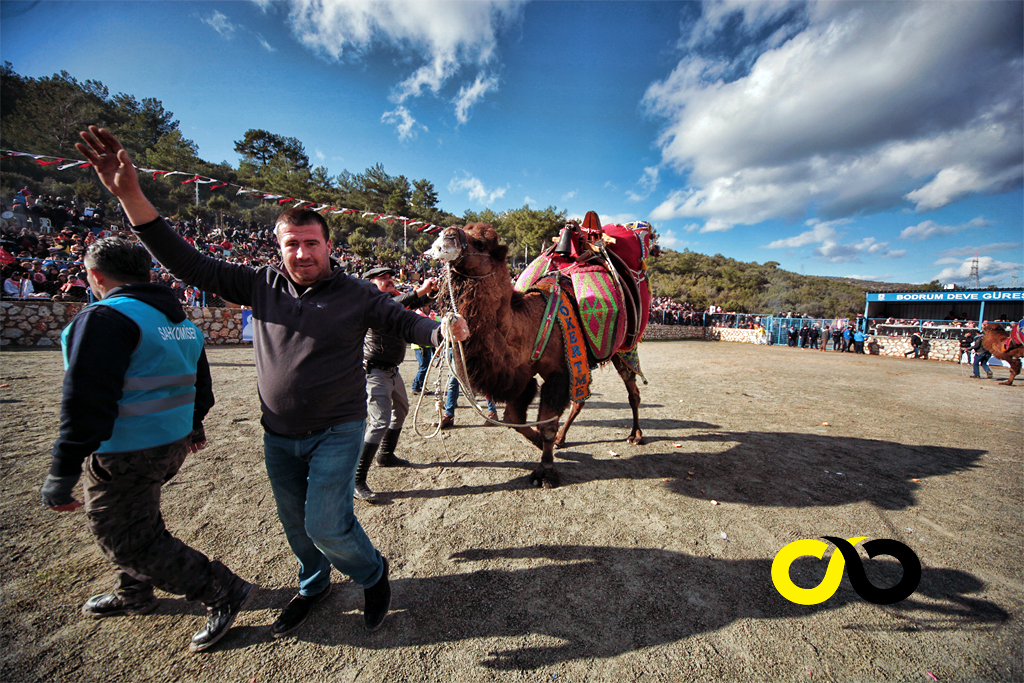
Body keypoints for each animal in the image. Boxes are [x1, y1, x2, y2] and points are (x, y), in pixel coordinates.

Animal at [430, 223, 638, 485]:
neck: (528, 325)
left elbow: (546, 423)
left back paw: (635, 435)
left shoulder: (559, 372)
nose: (447, 235)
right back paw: (562, 439)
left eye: (480, 243)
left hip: (625, 351)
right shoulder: (523, 375)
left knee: (633, 391)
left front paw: (546, 471)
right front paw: (542, 444)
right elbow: (512, 418)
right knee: (579, 402)